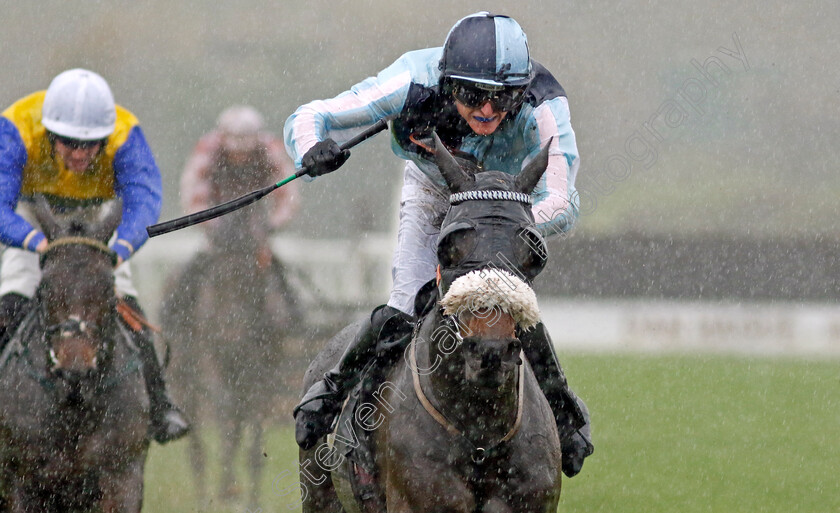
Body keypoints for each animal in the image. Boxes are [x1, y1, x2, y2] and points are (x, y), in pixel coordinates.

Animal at [159, 154, 300, 506]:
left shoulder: (263, 368)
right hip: (184, 376)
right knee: (197, 445)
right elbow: (225, 413)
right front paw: (226, 486)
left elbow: (251, 433)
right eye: (224, 183)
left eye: (255, 179)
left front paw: (250, 500)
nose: (241, 230)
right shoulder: (210, 355)